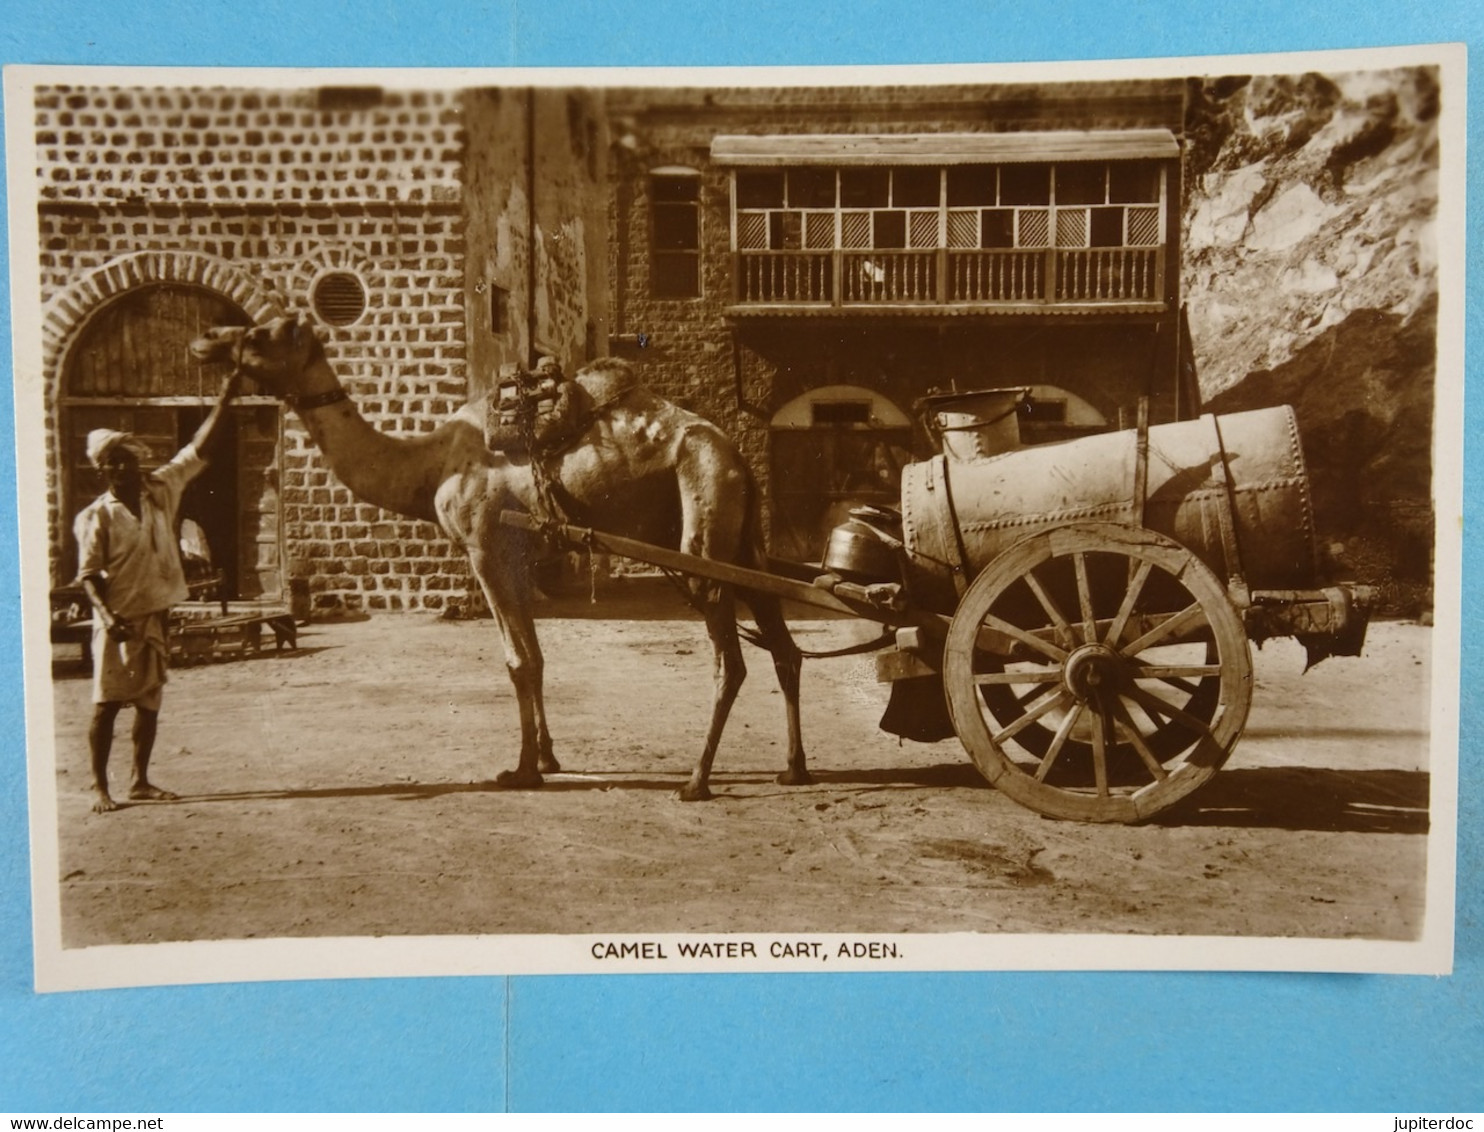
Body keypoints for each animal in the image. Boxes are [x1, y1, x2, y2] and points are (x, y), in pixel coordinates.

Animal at [192, 314, 813, 801]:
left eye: (262, 333)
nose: (205, 338)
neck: (429, 465)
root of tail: (737, 457)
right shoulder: (518, 559)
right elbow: (536, 657)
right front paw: (547, 758)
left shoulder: (484, 548)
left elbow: (516, 661)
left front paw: (520, 771)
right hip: (741, 537)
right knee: (785, 649)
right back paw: (794, 769)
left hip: (703, 516)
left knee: (731, 662)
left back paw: (696, 781)